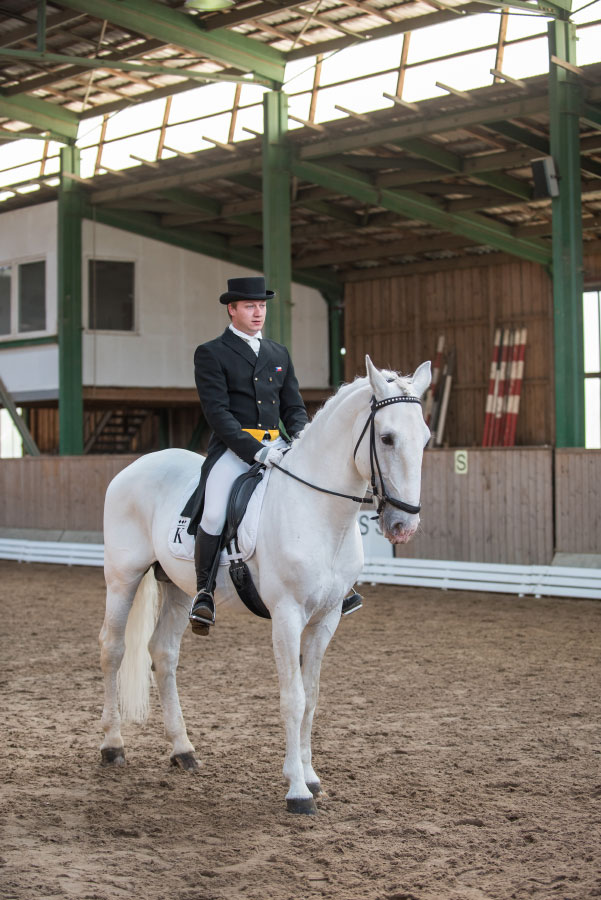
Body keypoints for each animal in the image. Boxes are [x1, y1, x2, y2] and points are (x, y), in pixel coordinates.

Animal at [98, 356, 428, 816]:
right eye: (387, 437)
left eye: (426, 439)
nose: (403, 526)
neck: (318, 513)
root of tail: (136, 465)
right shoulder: (287, 616)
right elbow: (293, 698)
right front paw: (297, 791)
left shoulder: (326, 619)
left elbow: (312, 697)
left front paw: (311, 777)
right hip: (122, 576)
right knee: (113, 649)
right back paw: (112, 745)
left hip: (179, 588)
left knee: (162, 654)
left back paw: (183, 750)